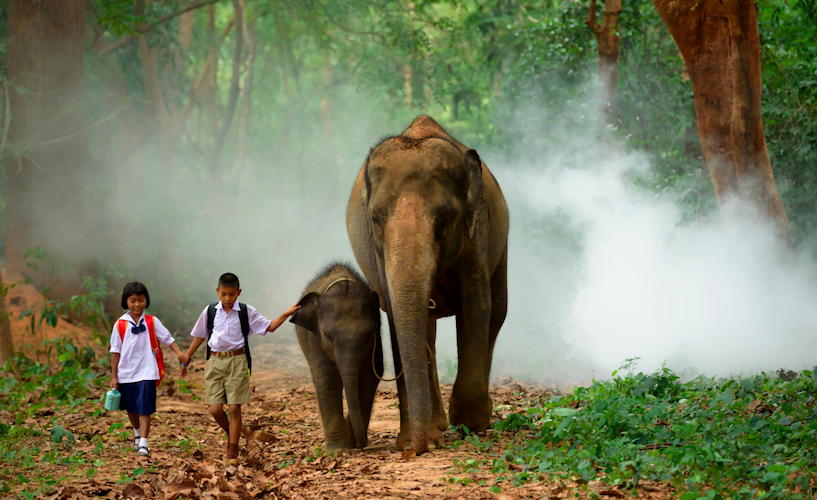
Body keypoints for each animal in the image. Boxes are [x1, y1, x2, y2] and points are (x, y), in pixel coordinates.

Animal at [290, 262, 383, 452]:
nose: (363, 444)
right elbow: (327, 379)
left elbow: (370, 376)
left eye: (367, 335)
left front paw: (349, 440)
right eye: (328, 335)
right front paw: (337, 450)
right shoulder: (315, 338)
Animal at [346, 115, 509, 455]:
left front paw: (470, 424)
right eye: (376, 218)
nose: (415, 450)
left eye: (445, 219)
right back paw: (437, 426)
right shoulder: (379, 253)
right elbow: (397, 316)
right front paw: (414, 439)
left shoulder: (477, 231)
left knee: (498, 313)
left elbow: (476, 307)